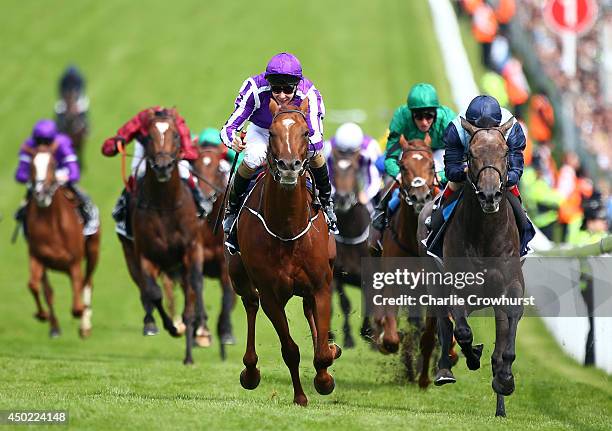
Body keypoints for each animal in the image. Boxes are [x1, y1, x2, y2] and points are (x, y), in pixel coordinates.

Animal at [22, 143, 99, 340]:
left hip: (93, 251)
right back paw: (54, 327)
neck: (51, 223)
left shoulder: (74, 261)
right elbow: (34, 285)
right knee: (48, 290)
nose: (40, 193)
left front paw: (81, 315)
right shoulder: (37, 256)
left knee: (87, 282)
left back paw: (85, 326)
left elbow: (78, 299)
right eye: (32, 166)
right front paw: (42, 315)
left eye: (52, 164)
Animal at [116, 109, 207, 366]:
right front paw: (168, 326)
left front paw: (190, 349)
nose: (163, 166)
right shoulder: (146, 254)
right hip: (131, 256)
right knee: (144, 289)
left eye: (176, 136)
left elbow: (192, 296)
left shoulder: (191, 250)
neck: (165, 204)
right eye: (148, 137)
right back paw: (152, 323)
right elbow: (154, 292)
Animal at [226, 99, 342, 406]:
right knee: (250, 303)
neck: (288, 230)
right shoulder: (271, 295)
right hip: (238, 276)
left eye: (305, 132)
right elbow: (290, 350)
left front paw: (324, 377)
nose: (289, 166)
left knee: (309, 310)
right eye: (273, 133)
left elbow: (321, 351)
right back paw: (250, 371)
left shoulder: (322, 285)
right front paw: (301, 396)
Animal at [370, 138, 438, 388]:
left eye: (431, 165)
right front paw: (386, 339)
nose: (419, 197)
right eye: (402, 165)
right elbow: (391, 334)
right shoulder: (392, 280)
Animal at [436, 118, 520, 418]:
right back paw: (445, 369)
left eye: (506, 153)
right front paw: (473, 357)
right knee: (445, 324)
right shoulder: (455, 287)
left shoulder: (511, 285)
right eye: (470, 155)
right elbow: (462, 332)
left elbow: (508, 337)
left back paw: (501, 406)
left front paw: (505, 380)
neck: (486, 234)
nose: (489, 195)